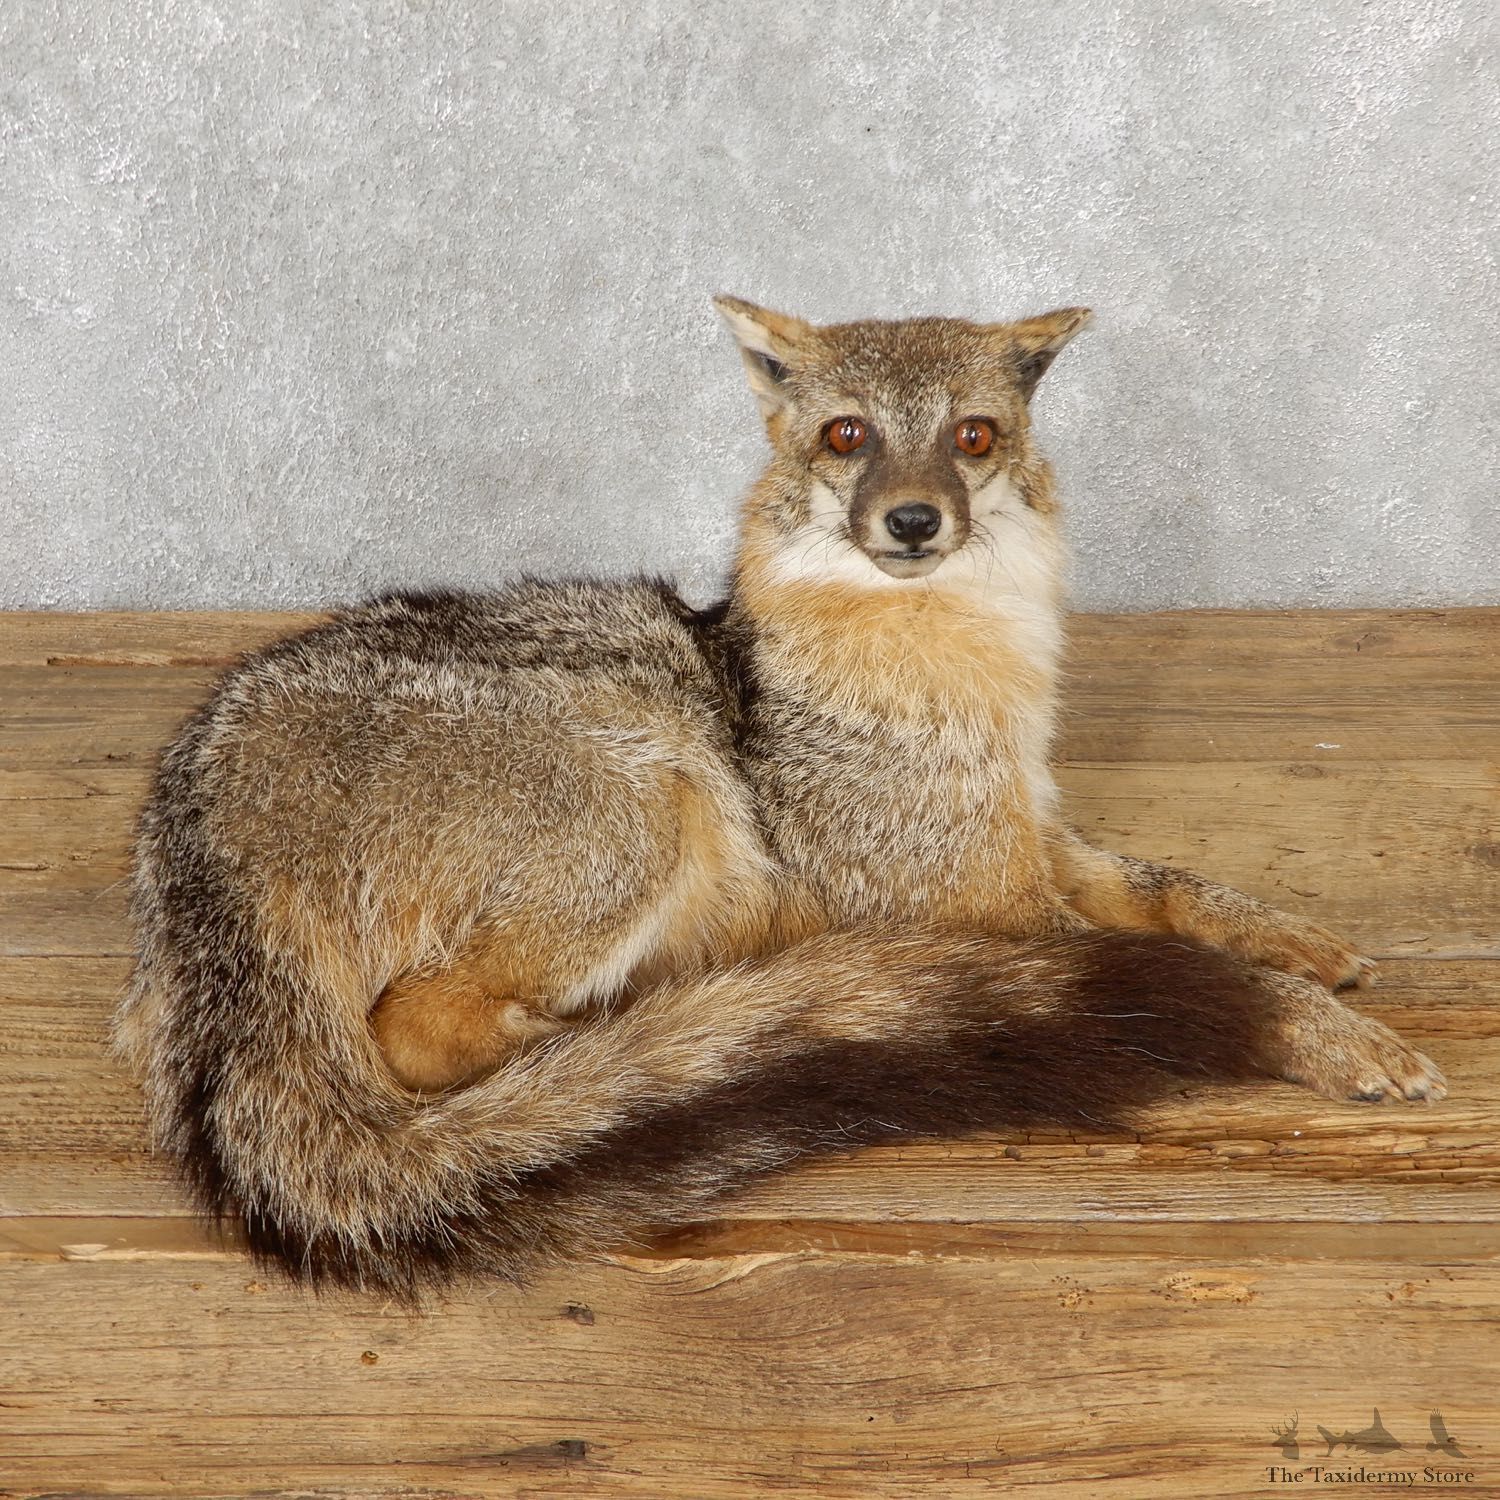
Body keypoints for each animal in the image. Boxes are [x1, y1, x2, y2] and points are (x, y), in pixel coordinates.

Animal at [115, 297, 1445, 1300]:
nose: (912, 522)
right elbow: (1185, 958)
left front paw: (1301, 941)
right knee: (422, 1029)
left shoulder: (1024, 837)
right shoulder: (970, 901)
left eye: (972, 437)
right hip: (651, 801)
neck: (955, 677)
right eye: (847, 436)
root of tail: (201, 800)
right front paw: (1328, 1031)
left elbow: (1178, 890)